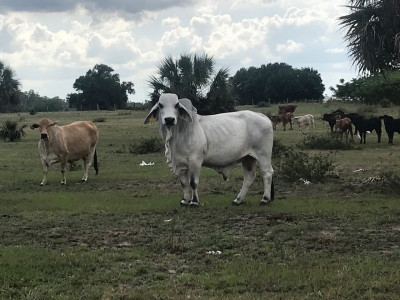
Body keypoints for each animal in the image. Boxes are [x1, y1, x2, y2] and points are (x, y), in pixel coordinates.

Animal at [145, 94, 276, 206]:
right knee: (249, 177)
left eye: (176, 105)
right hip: (248, 158)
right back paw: (238, 200)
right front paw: (184, 201)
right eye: (160, 105)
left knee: (267, 173)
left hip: (263, 155)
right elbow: (184, 183)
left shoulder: (195, 161)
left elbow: (193, 182)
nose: (169, 119)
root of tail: (262, 115)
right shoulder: (180, 164)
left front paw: (194, 202)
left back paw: (265, 199)